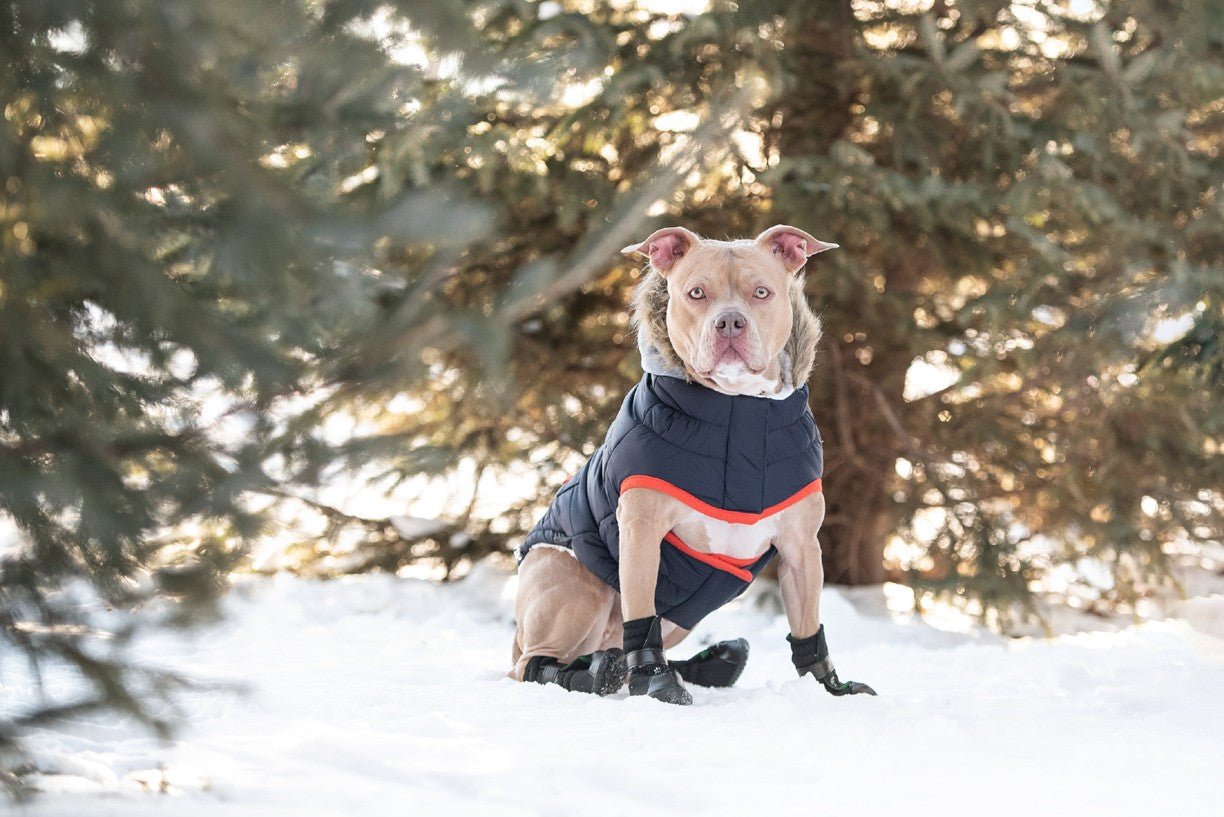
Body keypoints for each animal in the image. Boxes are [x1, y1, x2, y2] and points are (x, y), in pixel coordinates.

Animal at [510, 225, 875, 703]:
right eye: (696, 293)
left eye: (762, 292)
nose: (730, 321)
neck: (739, 409)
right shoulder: (642, 533)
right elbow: (640, 621)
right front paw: (656, 680)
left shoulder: (801, 547)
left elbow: (807, 626)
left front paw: (827, 686)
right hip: (577, 588)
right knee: (531, 664)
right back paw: (595, 674)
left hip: (681, 615)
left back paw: (710, 662)